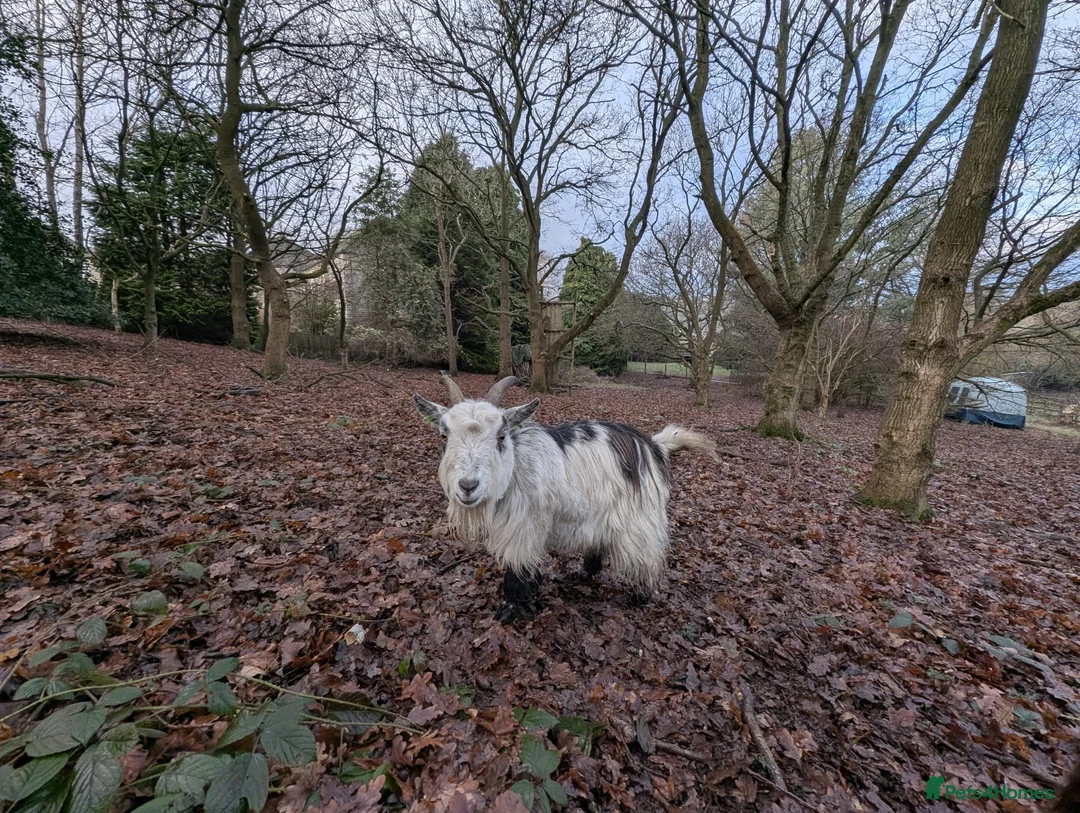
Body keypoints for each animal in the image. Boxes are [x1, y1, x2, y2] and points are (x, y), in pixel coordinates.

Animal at [413, 374, 717, 622]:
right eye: (444, 435)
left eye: (500, 436)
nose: (468, 486)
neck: (516, 467)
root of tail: (653, 445)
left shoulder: (523, 528)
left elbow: (516, 568)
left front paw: (509, 608)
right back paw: (585, 573)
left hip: (641, 517)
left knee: (647, 556)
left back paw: (641, 596)